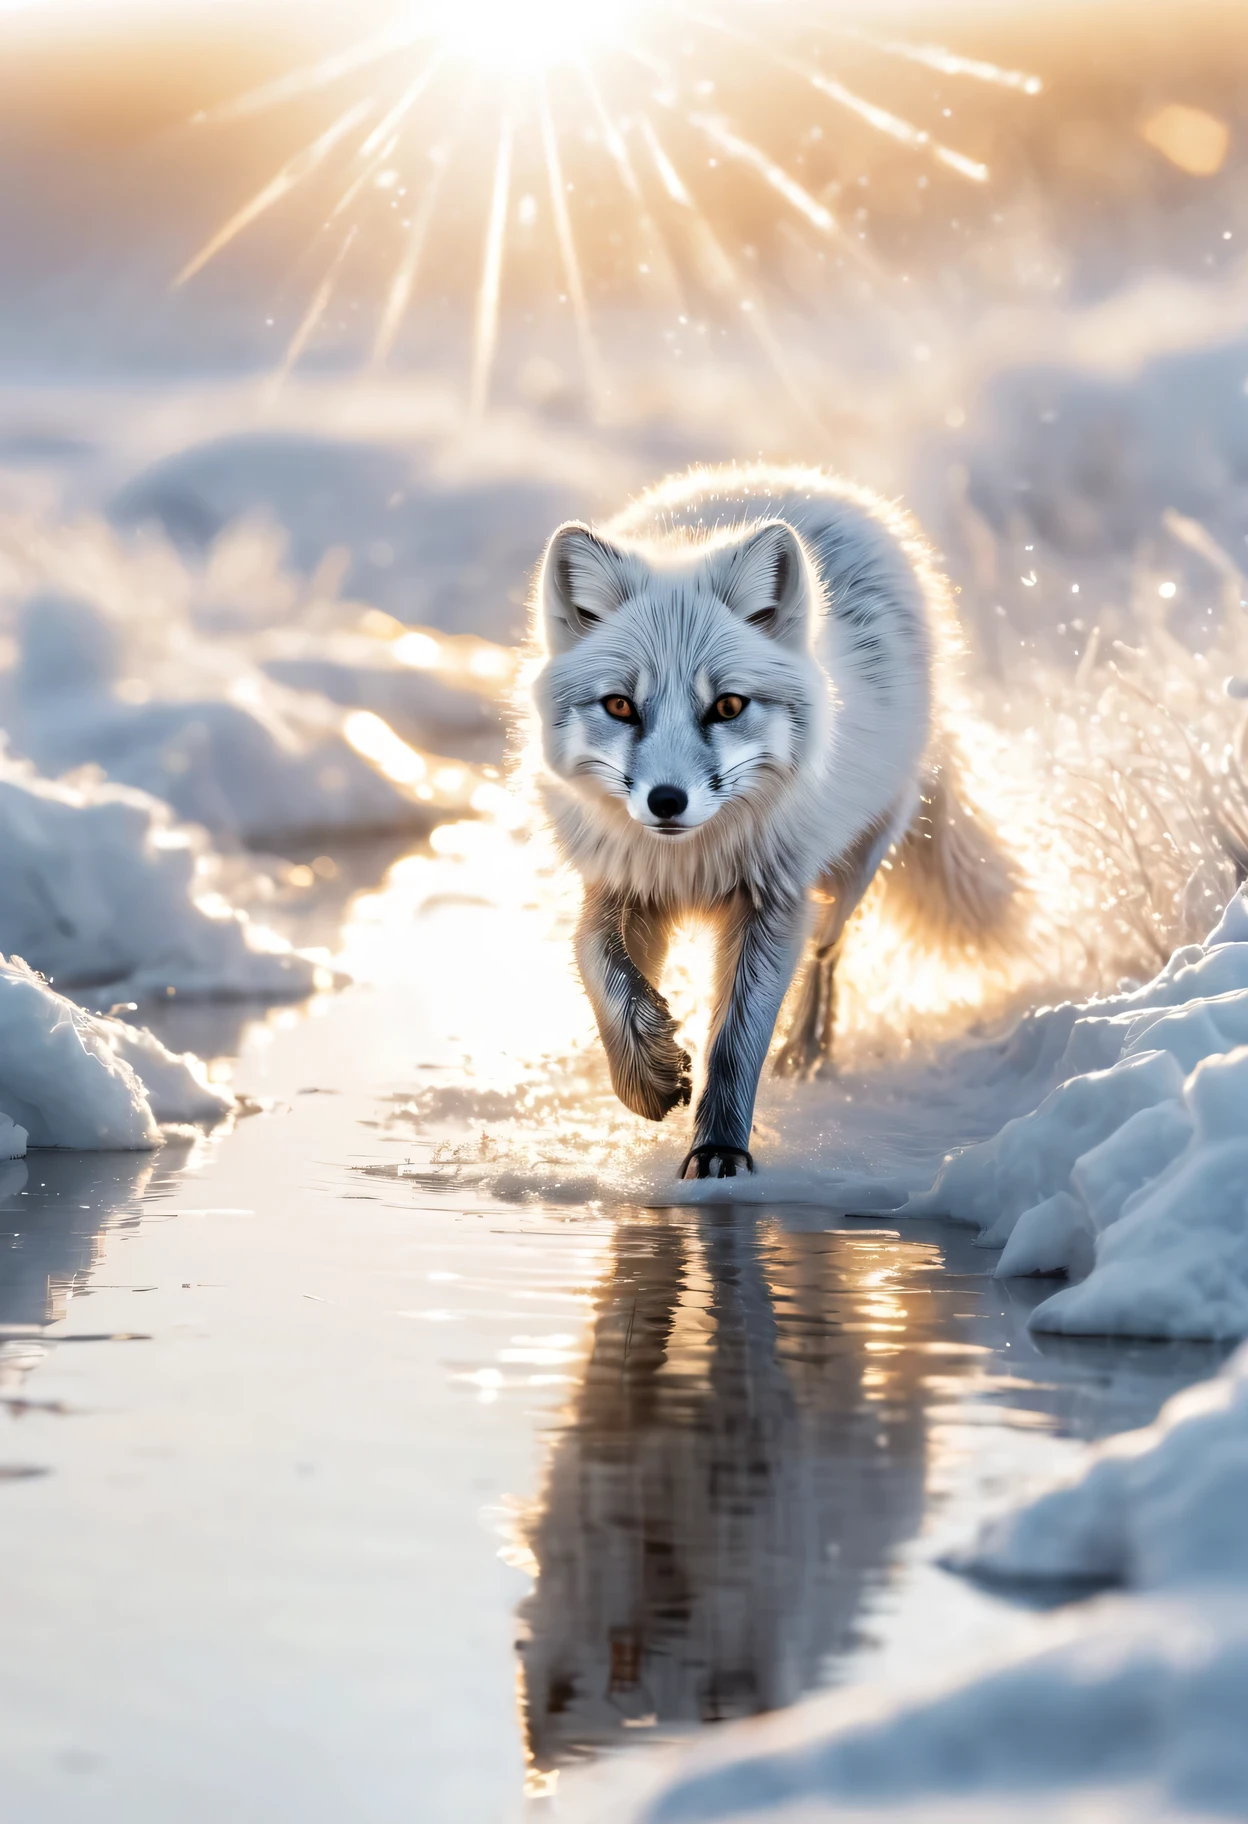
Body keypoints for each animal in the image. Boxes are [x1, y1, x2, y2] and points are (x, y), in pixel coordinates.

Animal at [525, 466, 1021, 1181]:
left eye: (728, 706)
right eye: (620, 706)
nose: (666, 801)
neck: (693, 863)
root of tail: (800, 479)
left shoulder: (773, 899)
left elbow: (736, 1041)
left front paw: (719, 1152)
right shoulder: (622, 881)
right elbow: (598, 967)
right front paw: (647, 1077)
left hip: (851, 869)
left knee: (827, 952)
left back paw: (808, 1049)